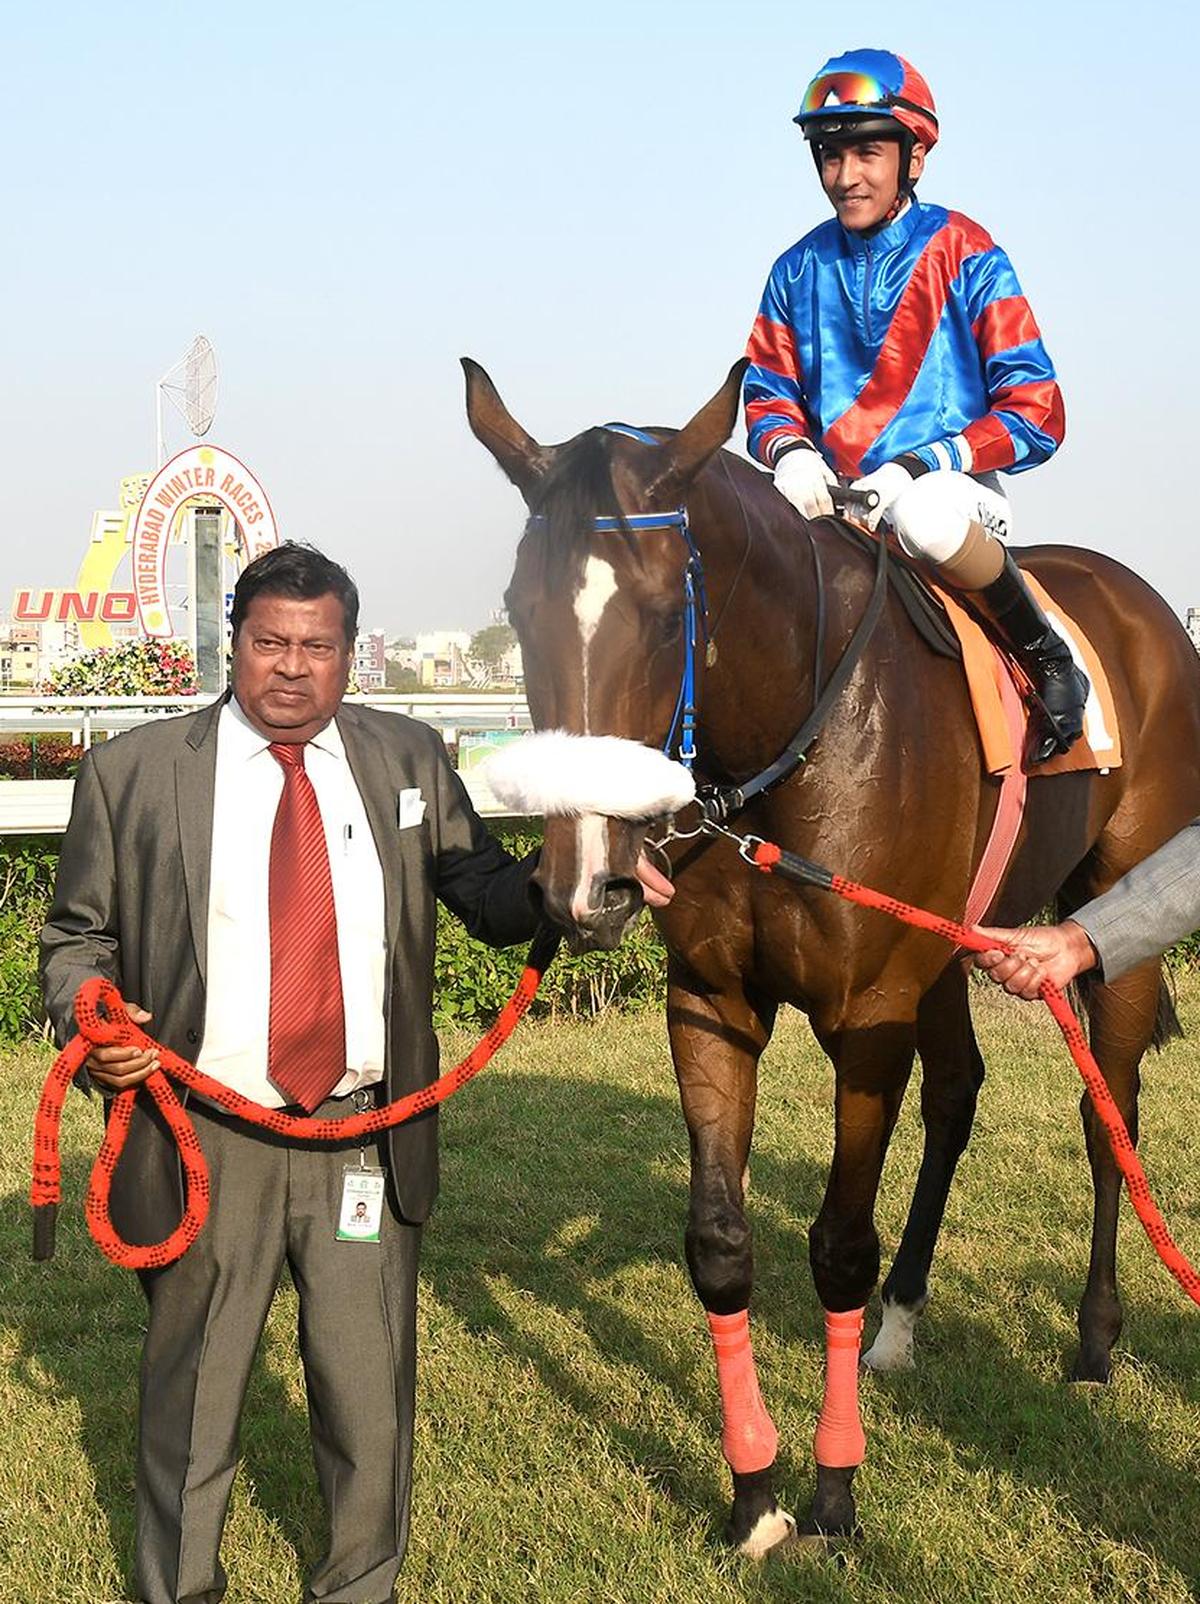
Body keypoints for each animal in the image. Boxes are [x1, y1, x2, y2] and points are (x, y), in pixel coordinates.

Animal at [462, 355, 1200, 1552]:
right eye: (521, 611)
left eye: (663, 615)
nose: (584, 886)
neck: (788, 746)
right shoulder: (712, 1000)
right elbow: (720, 1243)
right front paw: (754, 1492)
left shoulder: (869, 1012)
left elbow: (837, 1244)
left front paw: (835, 1494)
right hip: (952, 941)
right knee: (960, 1091)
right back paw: (903, 1317)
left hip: (1110, 911)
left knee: (1108, 1116)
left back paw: (1094, 1338)